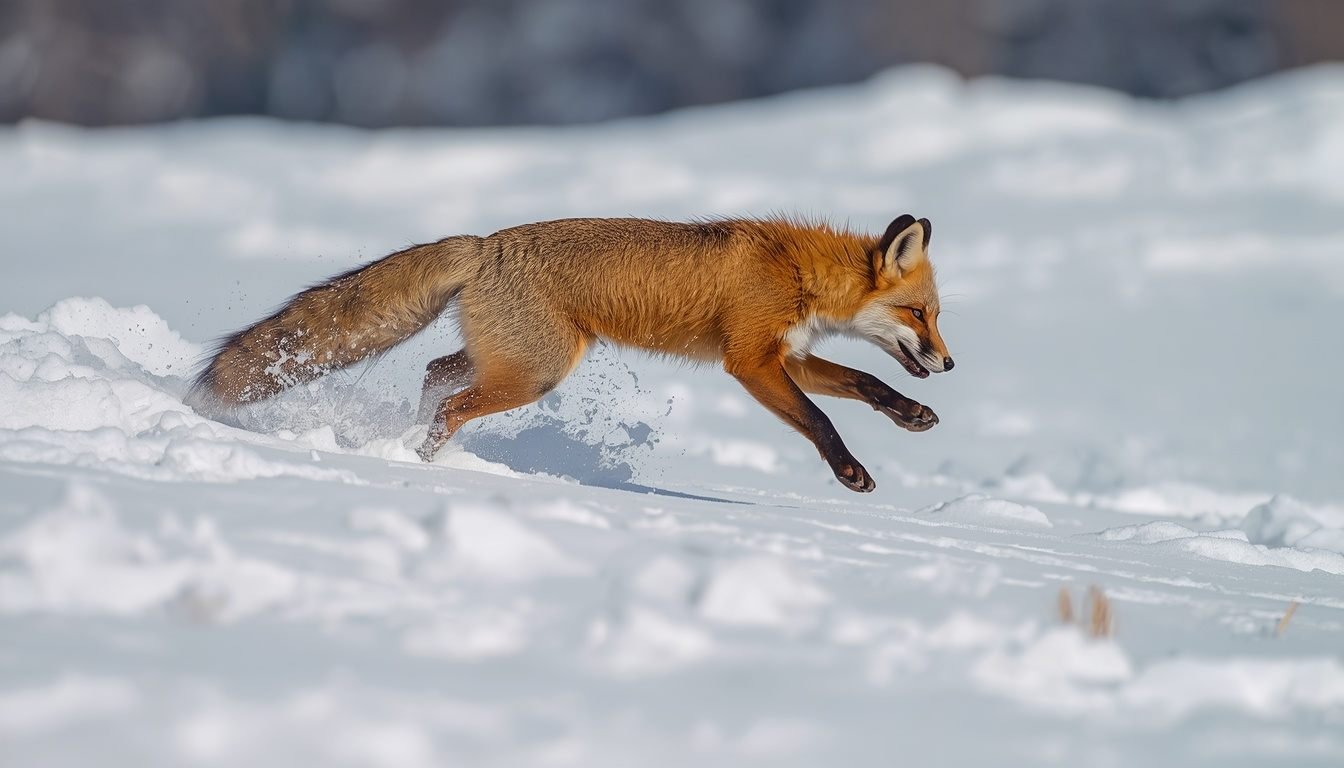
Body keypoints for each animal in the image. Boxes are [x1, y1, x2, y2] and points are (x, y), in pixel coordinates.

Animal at [190, 214, 953, 492]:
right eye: (919, 313)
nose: (949, 364)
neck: (795, 271)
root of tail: (484, 244)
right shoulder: (751, 362)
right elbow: (821, 419)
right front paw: (851, 473)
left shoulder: (785, 357)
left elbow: (862, 382)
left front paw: (911, 413)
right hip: (535, 374)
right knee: (453, 403)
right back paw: (423, 460)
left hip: (509, 360)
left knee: (437, 374)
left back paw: (412, 447)